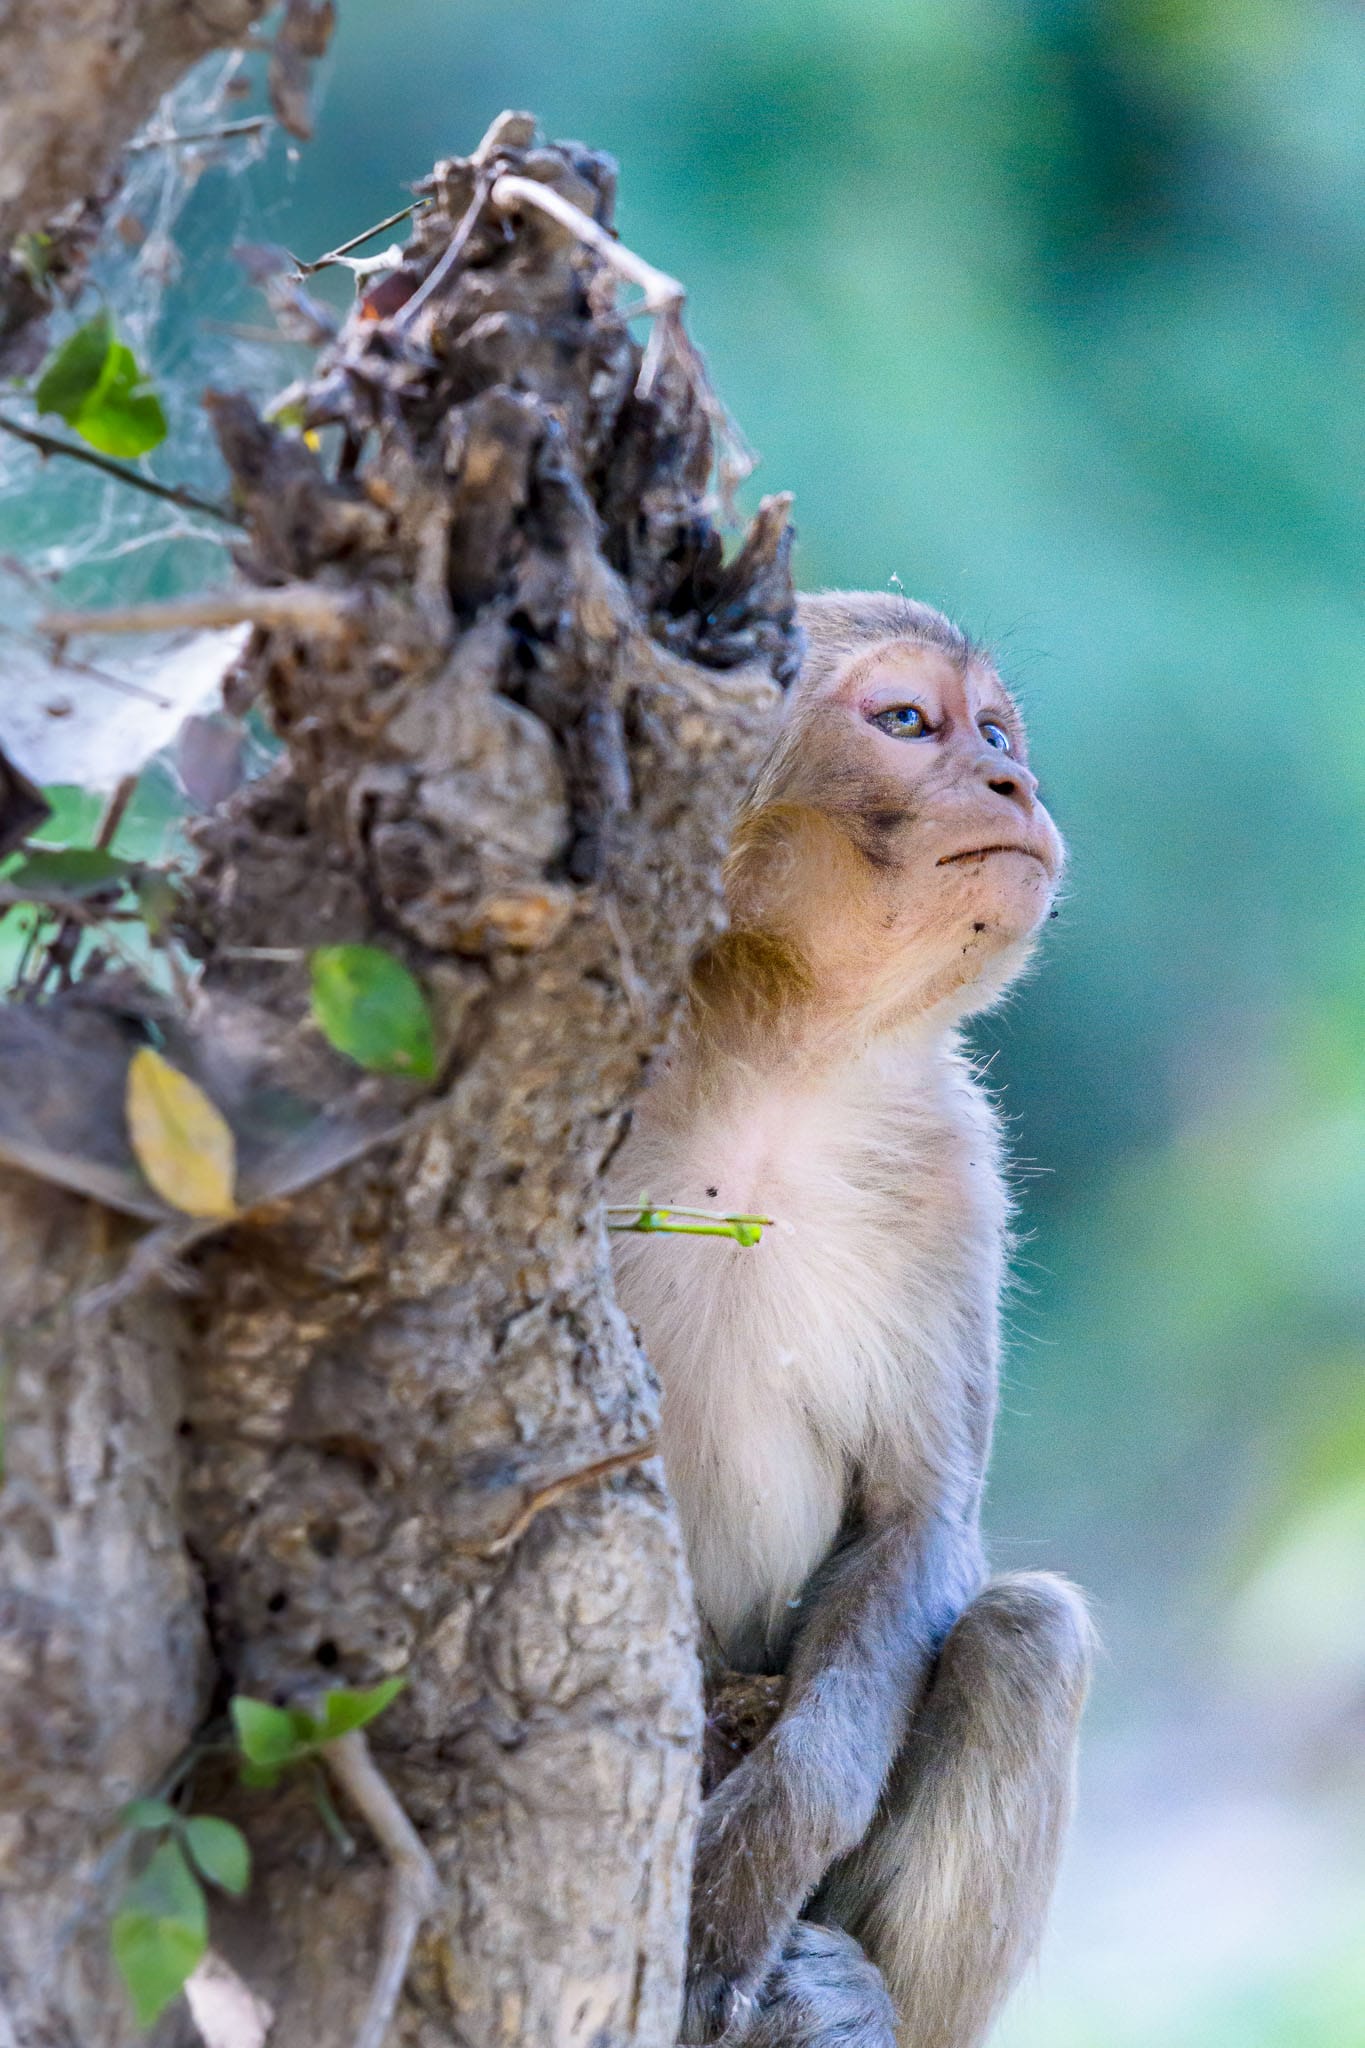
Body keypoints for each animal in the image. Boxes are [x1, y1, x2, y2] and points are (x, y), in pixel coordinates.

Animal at [608, 591, 1093, 2048]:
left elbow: (911, 1525)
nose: (1014, 783)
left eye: (996, 732)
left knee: (1024, 1638)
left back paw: (859, 2001)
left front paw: (740, 1879)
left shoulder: (953, 1174)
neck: (778, 1060)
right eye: (908, 721)